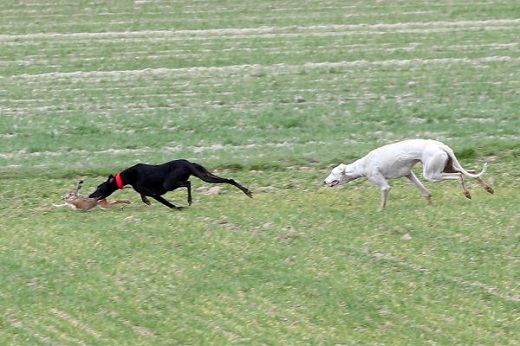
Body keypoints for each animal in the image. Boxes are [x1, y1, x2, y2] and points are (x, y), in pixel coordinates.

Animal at [89, 159, 254, 209]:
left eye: (99, 188)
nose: (90, 196)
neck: (127, 176)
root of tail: (187, 163)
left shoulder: (155, 192)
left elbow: (166, 202)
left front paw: (177, 208)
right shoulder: (146, 190)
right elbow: (143, 195)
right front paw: (146, 201)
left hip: (171, 183)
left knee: (188, 183)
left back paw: (189, 200)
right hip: (205, 175)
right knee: (229, 180)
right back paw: (247, 191)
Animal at [322, 138, 494, 208]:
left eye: (332, 172)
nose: (324, 181)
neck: (362, 164)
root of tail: (441, 145)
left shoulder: (383, 185)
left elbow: (384, 199)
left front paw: (380, 211)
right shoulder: (409, 175)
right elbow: (426, 193)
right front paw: (430, 206)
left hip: (432, 174)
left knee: (459, 175)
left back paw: (467, 193)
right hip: (446, 166)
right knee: (472, 171)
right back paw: (488, 188)